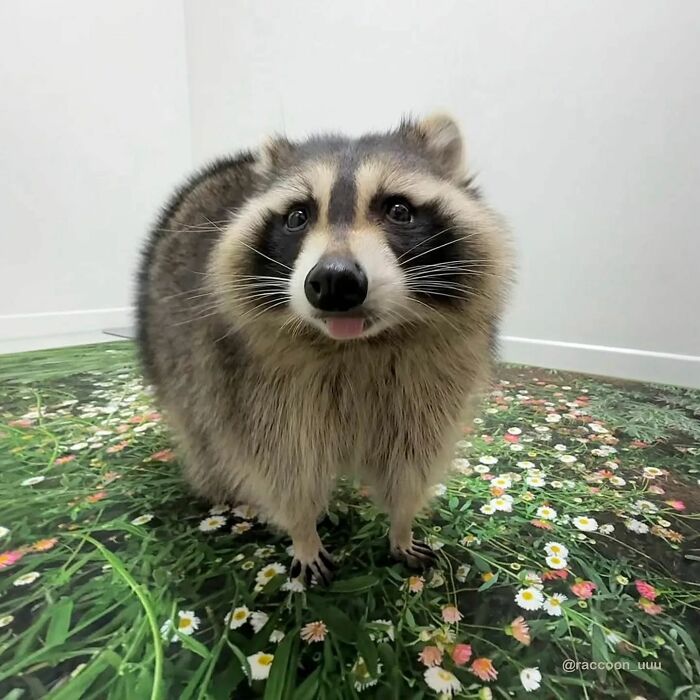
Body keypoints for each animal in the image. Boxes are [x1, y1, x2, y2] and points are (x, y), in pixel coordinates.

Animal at [136, 114, 513, 583]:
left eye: (399, 210)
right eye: (297, 216)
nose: (334, 280)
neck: (357, 344)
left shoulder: (429, 380)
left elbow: (410, 460)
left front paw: (402, 523)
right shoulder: (257, 383)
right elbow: (281, 465)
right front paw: (302, 530)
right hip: (174, 349)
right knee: (204, 427)